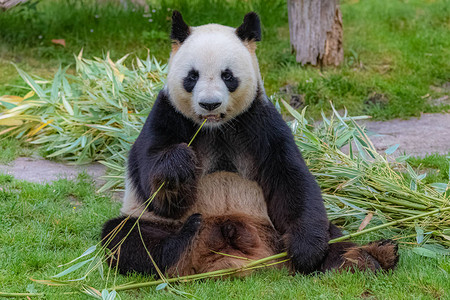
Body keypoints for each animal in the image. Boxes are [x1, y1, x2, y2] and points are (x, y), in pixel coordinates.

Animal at [100, 11, 400, 276]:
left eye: (228, 75)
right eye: (192, 76)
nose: (209, 104)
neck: (215, 128)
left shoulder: (258, 121)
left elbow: (291, 178)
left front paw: (305, 252)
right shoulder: (168, 116)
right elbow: (155, 186)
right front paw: (180, 163)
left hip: (275, 228)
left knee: (332, 234)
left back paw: (368, 257)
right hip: (149, 224)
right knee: (126, 238)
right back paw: (186, 239)